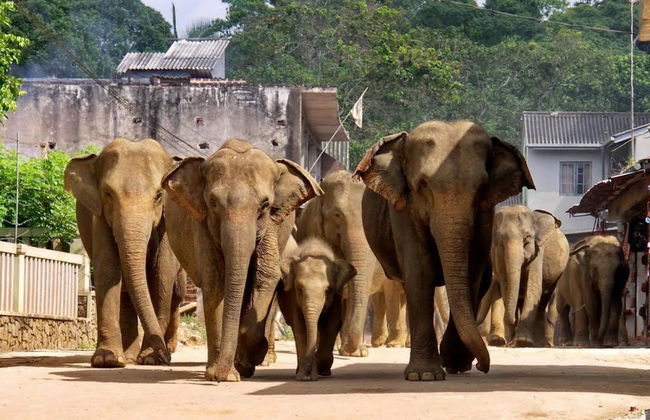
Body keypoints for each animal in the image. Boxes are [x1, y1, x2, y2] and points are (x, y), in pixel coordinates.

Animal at [64, 138, 184, 367]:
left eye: (158, 196)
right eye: (108, 194)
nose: (164, 358)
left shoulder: (168, 220)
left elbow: (161, 273)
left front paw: (152, 359)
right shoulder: (99, 217)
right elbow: (108, 268)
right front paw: (107, 360)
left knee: (177, 292)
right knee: (126, 292)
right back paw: (129, 357)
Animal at [162, 139, 322, 382]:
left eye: (264, 205)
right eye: (213, 203)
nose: (220, 375)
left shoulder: (270, 227)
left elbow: (267, 277)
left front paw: (246, 361)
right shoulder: (203, 226)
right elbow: (215, 283)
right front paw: (224, 374)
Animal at [278, 237, 356, 380]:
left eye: (327, 290)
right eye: (299, 289)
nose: (309, 376)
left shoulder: (337, 296)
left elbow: (331, 325)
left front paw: (318, 373)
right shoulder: (293, 298)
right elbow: (300, 328)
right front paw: (302, 377)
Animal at [355, 120, 534, 380]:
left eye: (481, 187)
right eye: (422, 185)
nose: (483, 366)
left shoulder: (485, 214)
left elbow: (471, 270)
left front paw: (455, 363)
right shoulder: (403, 210)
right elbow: (420, 270)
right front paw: (424, 375)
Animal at [477, 206, 569, 347]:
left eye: (527, 238)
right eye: (498, 240)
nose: (513, 319)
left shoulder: (538, 252)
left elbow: (533, 289)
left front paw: (522, 342)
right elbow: (506, 288)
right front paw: (512, 342)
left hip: (560, 272)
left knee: (547, 298)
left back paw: (544, 344)